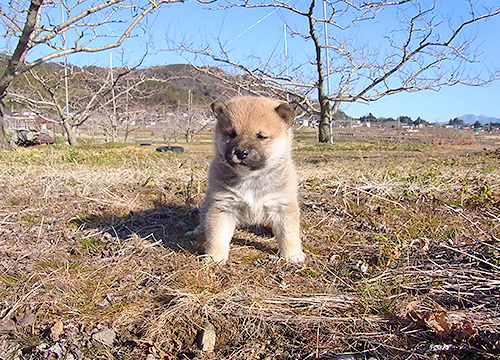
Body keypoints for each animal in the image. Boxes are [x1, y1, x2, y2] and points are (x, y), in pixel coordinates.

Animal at [188, 95, 304, 262]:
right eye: (232, 134)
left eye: (261, 136)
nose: (240, 152)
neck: (251, 178)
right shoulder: (223, 206)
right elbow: (217, 235)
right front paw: (215, 257)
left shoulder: (282, 206)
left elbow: (289, 234)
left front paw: (293, 255)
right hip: (208, 203)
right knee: (204, 219)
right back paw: (197, 231)